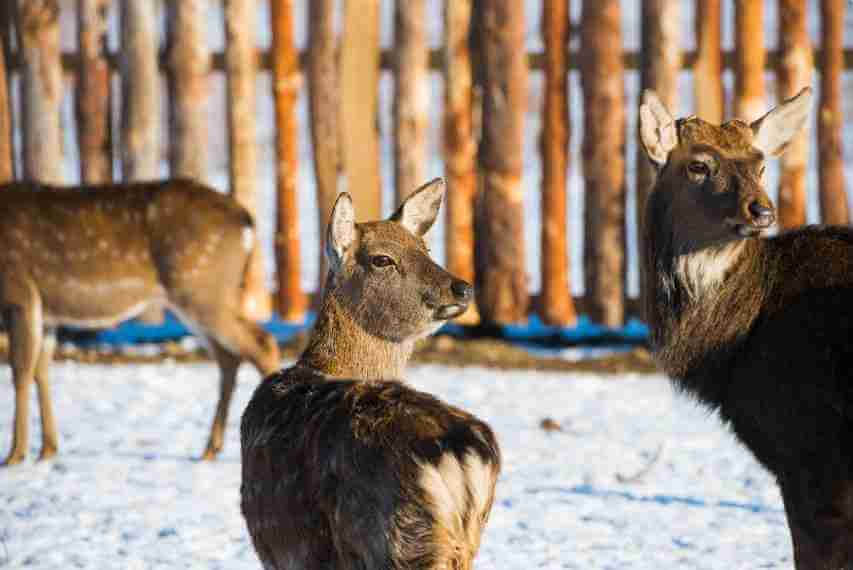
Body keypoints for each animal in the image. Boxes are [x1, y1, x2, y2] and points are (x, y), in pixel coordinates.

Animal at [0, 178, 280, 466]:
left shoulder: (18, 292)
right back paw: (210, 449)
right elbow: (41, 369)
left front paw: (14, 455)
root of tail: (246, 221)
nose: (35, 451)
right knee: (229, 358)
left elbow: (20, 370)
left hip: (200, 288)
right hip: (203, 294)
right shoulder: (49, 314)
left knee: (261, 343)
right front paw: (47, 450)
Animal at [240, 179, 501, 570]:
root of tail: (461, 453)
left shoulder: (282, 553)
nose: (462, 287)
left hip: (399, 542)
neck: (327, 364)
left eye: (424, 248)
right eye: (382, 259)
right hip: (465, 542)